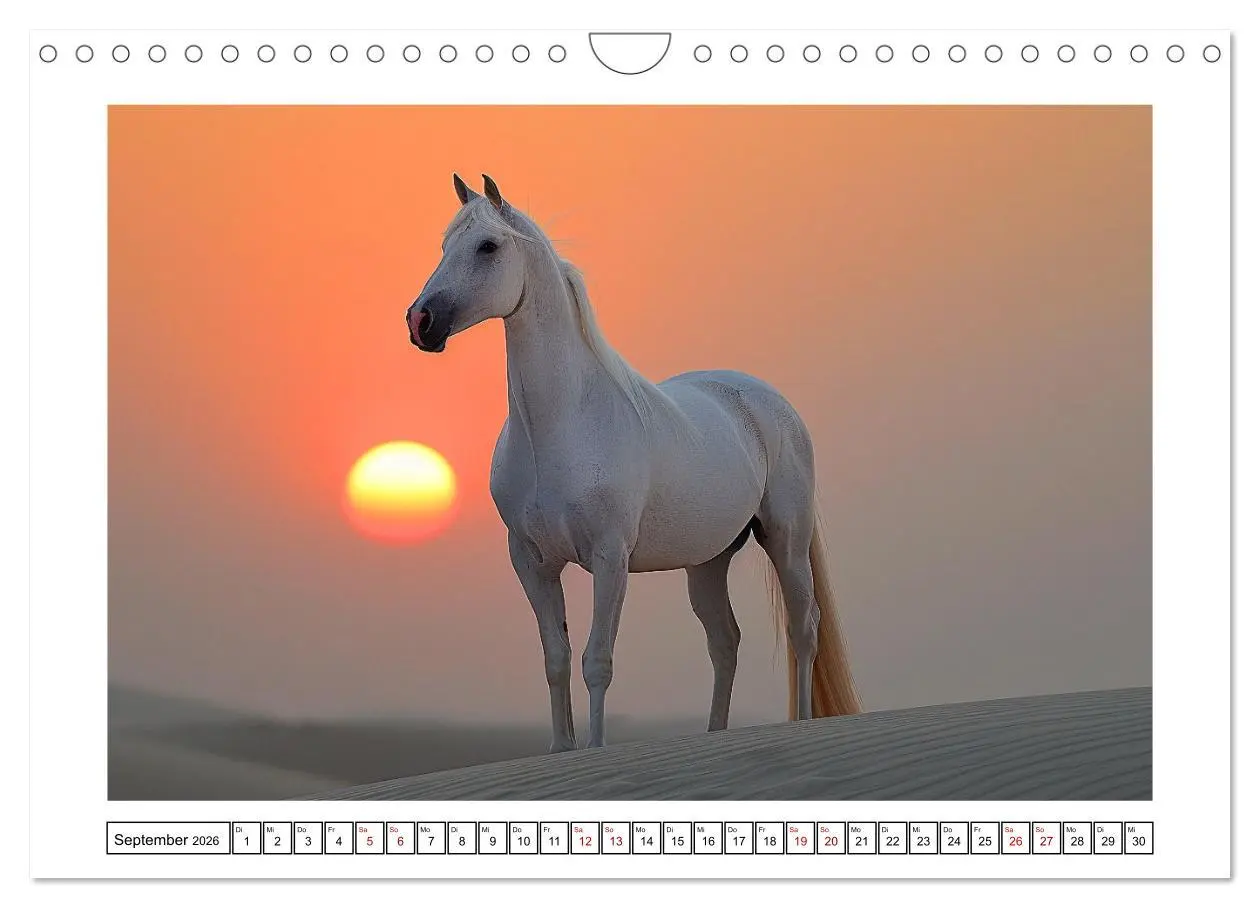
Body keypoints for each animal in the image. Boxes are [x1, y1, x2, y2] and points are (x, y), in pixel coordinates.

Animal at [406, 173, 861, 752]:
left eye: (488, 247)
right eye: (445, 247)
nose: (420, 321)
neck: (561, 425)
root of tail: (768, 400)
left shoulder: (610, 557)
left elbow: (596, 661)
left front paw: (596, 750)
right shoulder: (531, 561)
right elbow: (556, 659)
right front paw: (562, 750)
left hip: (786, 538)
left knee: (804, 628)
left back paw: (801, 725)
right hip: (708, 559)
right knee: (725, 640)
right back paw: (714, 735)